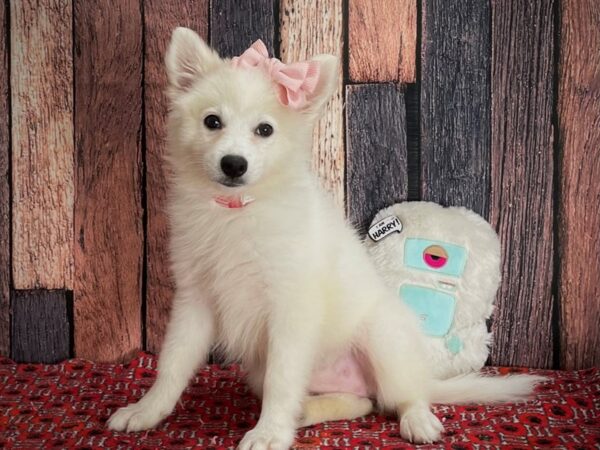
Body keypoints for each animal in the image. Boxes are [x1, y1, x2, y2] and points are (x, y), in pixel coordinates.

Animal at [109, 29, 544, 450]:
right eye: (212, 121)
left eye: (265, 130)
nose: (234, 164)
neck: (239, 209)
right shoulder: (195, 298)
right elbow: (173, 363)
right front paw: (146, 411)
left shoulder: (290, 306)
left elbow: (282, 381)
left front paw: (269, 433)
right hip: (269, 371)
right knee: (362, 402)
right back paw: (308, 411)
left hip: (384, 338)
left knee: (404, 395)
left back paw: (418, 420)